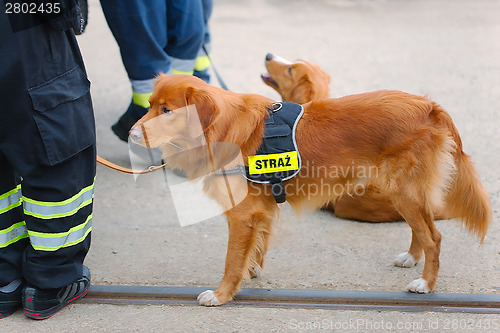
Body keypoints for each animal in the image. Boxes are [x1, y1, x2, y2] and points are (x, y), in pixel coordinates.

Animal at [131, 74, 490, 304]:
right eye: (149, 105)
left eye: (167, 111)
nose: (132, 134)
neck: (221, 129)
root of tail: (429, 106)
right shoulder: (262, 210)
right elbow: (257, 247)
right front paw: (252, 271)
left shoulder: (243, 215)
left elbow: (232, 260)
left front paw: (222, 294)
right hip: (403, 192)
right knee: (422, 229)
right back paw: (412, 258)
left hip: (403, 191)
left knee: (434, 236)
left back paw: (426, 283)